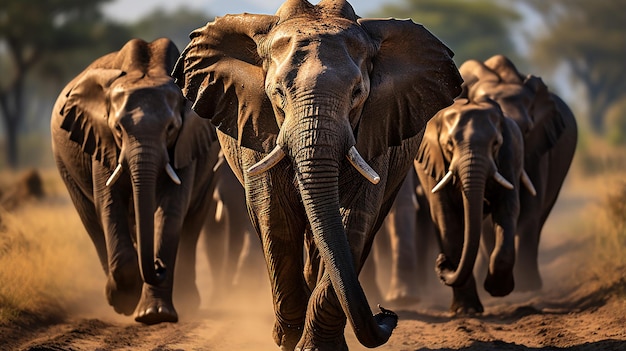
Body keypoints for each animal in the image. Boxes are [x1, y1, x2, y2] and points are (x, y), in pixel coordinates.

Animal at [50, 37, 219, 324]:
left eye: (171, 128)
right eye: (118, 129)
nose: (159, 266)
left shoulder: (185, 143)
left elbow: (172, 208)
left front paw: (154, 315)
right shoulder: (102, 141)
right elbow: (109, 204)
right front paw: (126, 301)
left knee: (193, 220)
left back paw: (188, 301)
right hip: (64, 164)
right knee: (91, 219)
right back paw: (116, 295)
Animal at [171, 1, 458, 350]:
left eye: (358, 93)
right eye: (277, 93)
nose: (386, 313)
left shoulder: (375, 128)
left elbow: (352, 220)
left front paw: (314, 346)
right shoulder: (255, 122)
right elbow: (275, 216)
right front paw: (287, 339)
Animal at [414, 97, 528, 316]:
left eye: (496, 143)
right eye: (449, 145)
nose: (441, 262)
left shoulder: (510, 156)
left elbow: (508, 209)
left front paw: (497, 290)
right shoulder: (434, 165)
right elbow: (446, 219)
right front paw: (466, 311)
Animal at [456, 55, 576, 292]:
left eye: (527, 130)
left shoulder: (536, 149)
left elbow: (529, 209)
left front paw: (526, 287)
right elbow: (487, 219)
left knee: (540, 217)